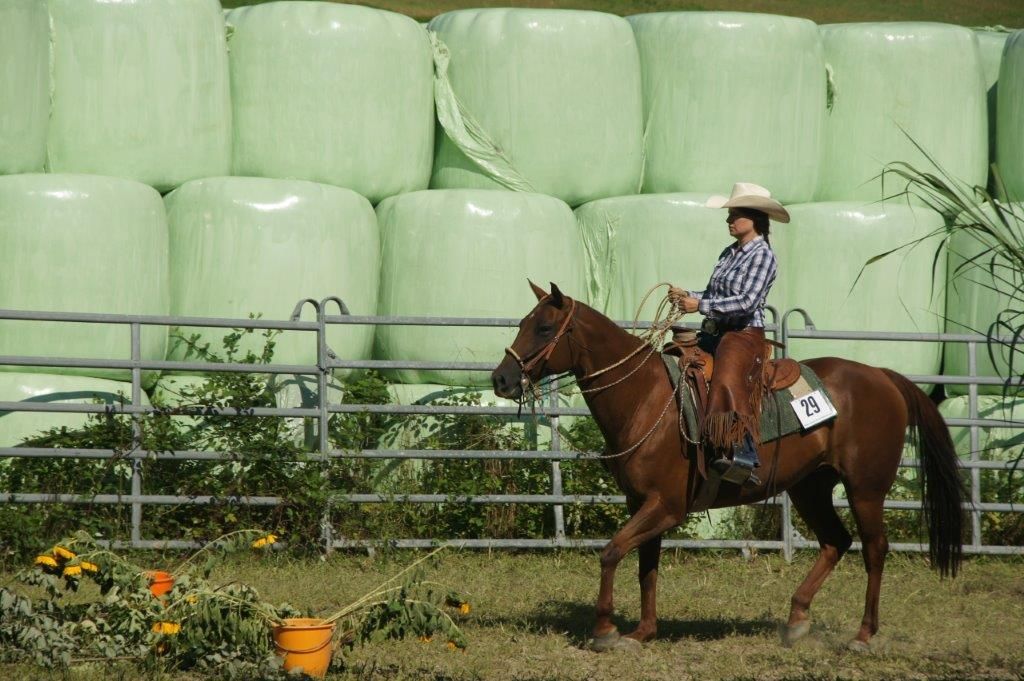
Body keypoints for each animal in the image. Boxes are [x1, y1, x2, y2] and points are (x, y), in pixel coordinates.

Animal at [491, 282, 965, 653]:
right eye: (523, 323)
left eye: (545, 327)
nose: (501, 379)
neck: (645, 398)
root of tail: (883, 376)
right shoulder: (642, 503)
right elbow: (645, 565)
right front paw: (642, 632)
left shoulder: (666, 506)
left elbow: (611, 552)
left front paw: (605, 629)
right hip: (809, 486)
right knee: (835, 541)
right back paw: (796, 621)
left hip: (866, 488)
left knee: (873, 549)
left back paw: (863, 635)